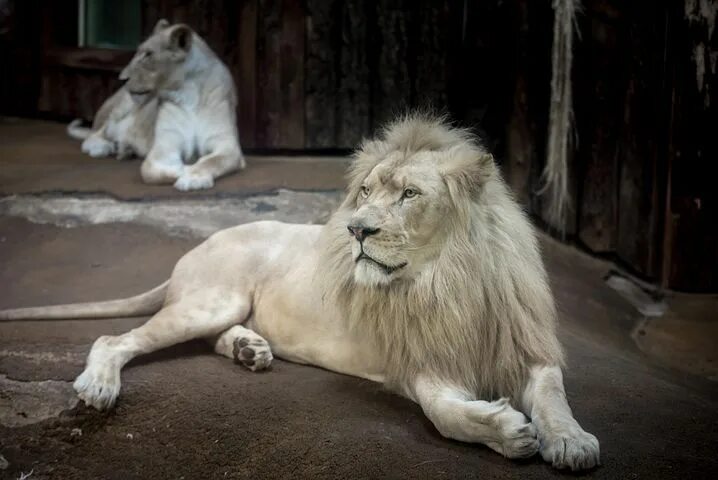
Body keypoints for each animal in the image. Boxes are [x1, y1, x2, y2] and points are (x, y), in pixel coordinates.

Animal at [0, 115, 600, 468]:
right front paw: (508, 432)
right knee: (114, 339)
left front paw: (571, 441)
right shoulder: (416, 363)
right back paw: (100, 384)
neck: (449, 279)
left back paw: (250, 349)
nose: (356, 229)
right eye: (364, 190)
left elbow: (554, 394)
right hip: (210, 299)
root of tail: (197, 245)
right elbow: (446, 414)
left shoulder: (525, 347)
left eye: (409, 194)